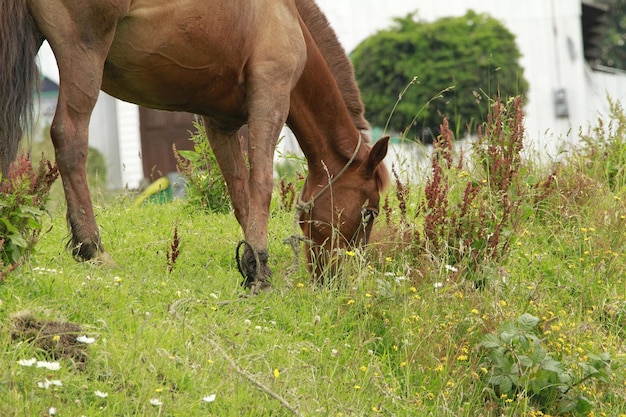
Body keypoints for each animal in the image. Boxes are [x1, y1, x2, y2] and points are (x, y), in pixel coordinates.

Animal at [2, 0, 388, 290]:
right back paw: (92, 248)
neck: (286, 16)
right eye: (369, 212)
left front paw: (251, 264)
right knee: (69, 138)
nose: (338, 279)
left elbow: (240, 195)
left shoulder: (220, 125)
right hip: (83, 50)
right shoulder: (271, 99)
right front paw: (260, 270)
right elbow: (261, 184)